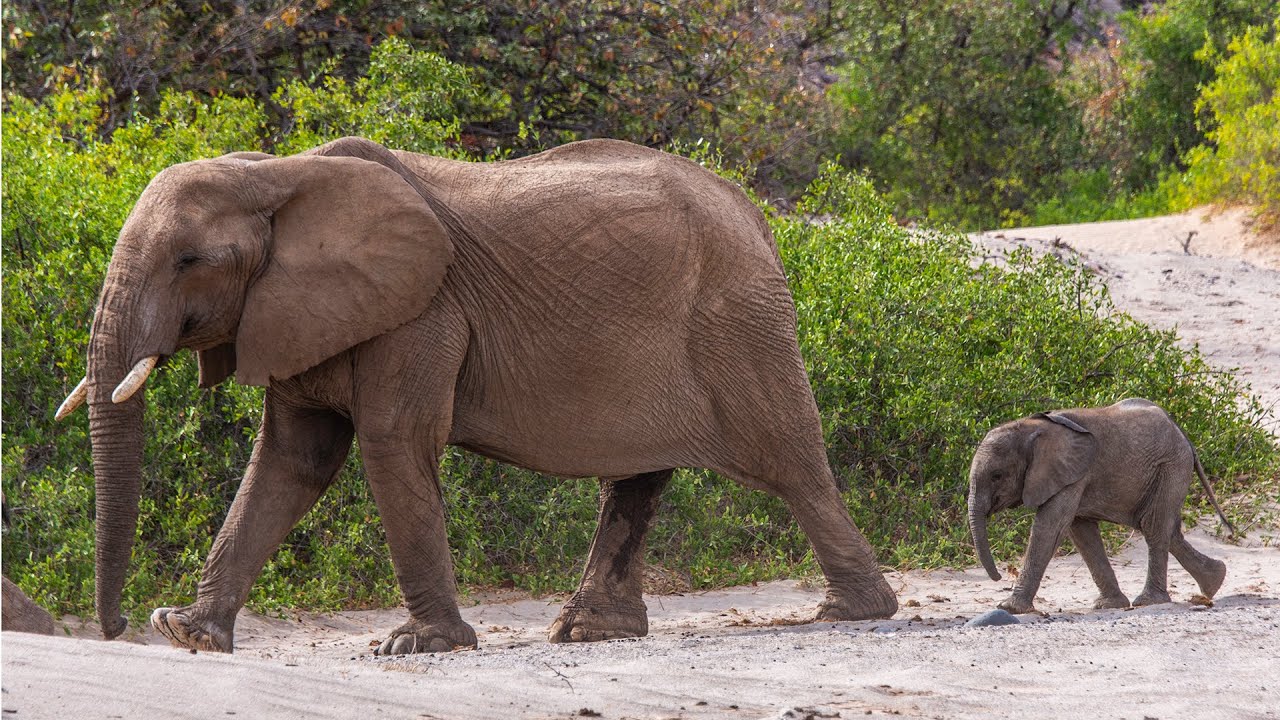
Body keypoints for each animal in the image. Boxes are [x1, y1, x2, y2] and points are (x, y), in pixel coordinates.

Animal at [55, 136, 897, 654]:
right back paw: (590, 632)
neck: (277, 174)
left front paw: (415, 646)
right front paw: (188, 633)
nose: (118, 624)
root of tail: (755, 211)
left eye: (190, 260)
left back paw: (854, 612)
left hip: (739, 324)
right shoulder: (297, 313)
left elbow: (392, 443)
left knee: (789, 462)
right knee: (637, 478)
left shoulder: (423, 311)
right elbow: (291, 462)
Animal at [968, 398, 1234, 614]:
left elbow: (1051, 527)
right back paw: (1215, 581)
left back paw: (1149, 602)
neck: (1030, 428)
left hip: (1171, 466)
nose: (999, 577)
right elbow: (1081, 532)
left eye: (997, 476)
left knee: (1153, 526)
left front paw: (1009, 608)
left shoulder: (1072, 474)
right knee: (1168, 529)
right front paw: (1109, 606)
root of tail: (1182, 433)